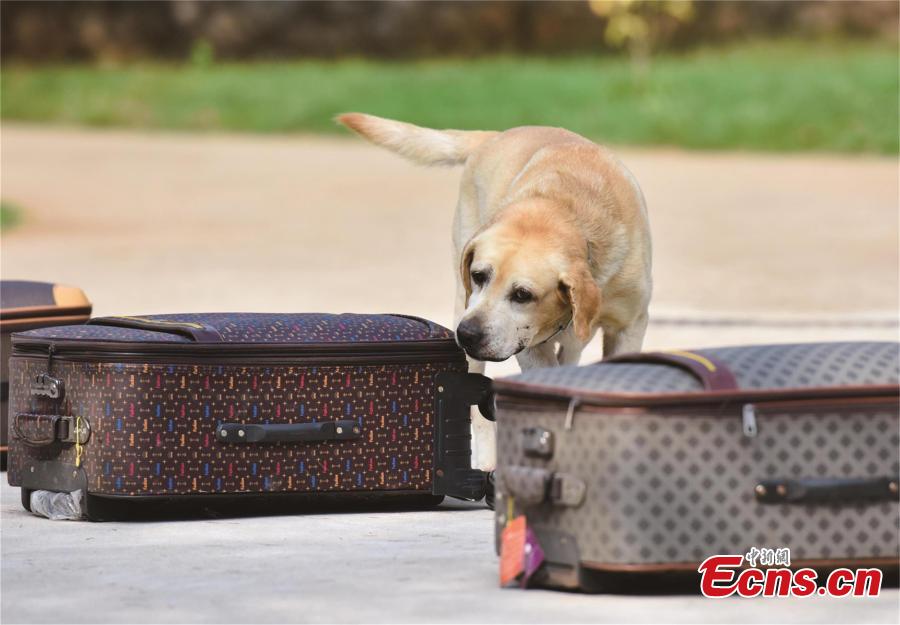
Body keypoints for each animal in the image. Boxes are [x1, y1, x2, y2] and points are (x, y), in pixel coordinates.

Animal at [336, 114, 648, 470]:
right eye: (478, 275)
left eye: (523, 294)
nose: (467, 335)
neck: (568, 213)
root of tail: (495, 135)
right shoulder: (527, 344)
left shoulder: (629, 326)